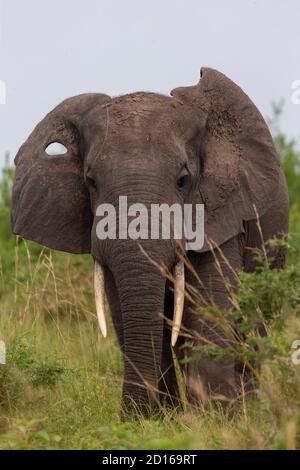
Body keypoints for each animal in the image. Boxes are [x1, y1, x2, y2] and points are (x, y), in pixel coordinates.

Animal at [11, 68, 288, 416]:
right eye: (90, 181)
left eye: (183, 180)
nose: (128, 414)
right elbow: (123, 309)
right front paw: (157, 419)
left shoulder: (221, 211)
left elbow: (209, 304)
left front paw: (216, 419)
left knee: (252, 324)